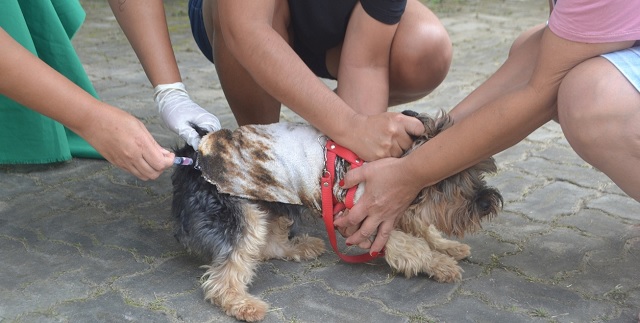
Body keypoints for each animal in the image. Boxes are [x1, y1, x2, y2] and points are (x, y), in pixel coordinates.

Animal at [172, 111, 502, 322]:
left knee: (269, 244)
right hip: (240, 211)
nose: (488, 202)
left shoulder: (395, 202)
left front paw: (449, 247)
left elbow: (423, 228)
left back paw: (303, 246)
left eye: (477, 171)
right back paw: (243, 304)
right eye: (450, 179)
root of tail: (194, 157)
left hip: (272, 202)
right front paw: (440, 263)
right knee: (228, 272)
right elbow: (411, 247)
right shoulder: (367, 218)